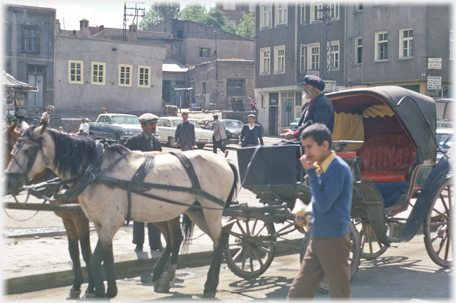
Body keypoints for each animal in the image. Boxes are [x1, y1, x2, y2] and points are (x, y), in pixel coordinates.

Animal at [4, 121, 95, 300]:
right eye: (14, 149)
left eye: (26, 151)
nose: (8, 183)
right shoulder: (68, 218)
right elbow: (73, 251)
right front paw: (76, 285)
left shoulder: (81, 218)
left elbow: (86, 251)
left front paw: (91, 288)